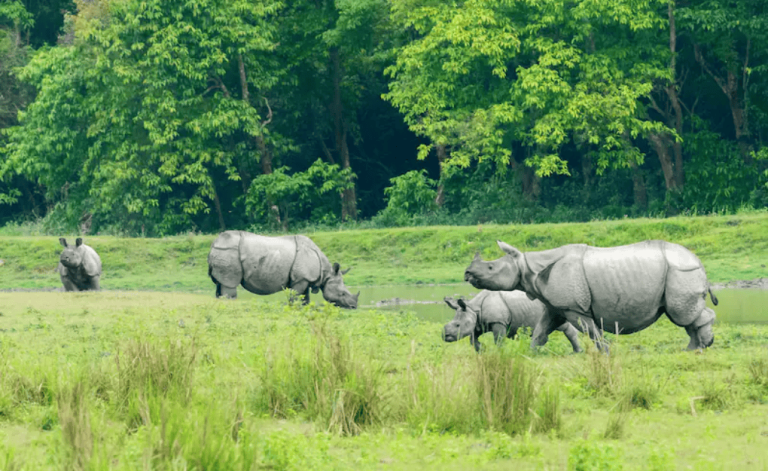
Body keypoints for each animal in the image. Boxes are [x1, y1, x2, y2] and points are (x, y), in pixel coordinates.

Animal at [207, 231, 359, 308]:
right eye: (342, 293)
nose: (354, 307)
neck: (326, 273)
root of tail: (214, 244)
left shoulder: (304, 279)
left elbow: (305, 298)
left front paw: (304, 308)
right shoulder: (301, 279)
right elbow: (296, 296)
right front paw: (293, 308)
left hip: (224, 252)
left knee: (220, 285)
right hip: (228, 252)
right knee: (229, 285)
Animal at [443, 290, 582, 353]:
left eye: (457, 325)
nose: (445, 336)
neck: (473, 308)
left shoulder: (498, 321)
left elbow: (498, 339)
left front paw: (500, 352)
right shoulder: (479, 323)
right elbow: (472, 339)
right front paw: (482, 349)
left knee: (564, 327)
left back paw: (576, 352)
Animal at [464, 240, 718, 351]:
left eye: (490, 268)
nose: (467, 273)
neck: (528, 267)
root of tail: (698, 260)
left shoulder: (574, 307)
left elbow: (592, 331)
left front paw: (605, 352)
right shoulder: (557, 306)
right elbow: (540, 331)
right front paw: (531, 353)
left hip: (681, 271)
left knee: (681, 314)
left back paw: (699, 347)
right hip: (679, 271)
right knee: (684, 316)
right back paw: (693, 349)